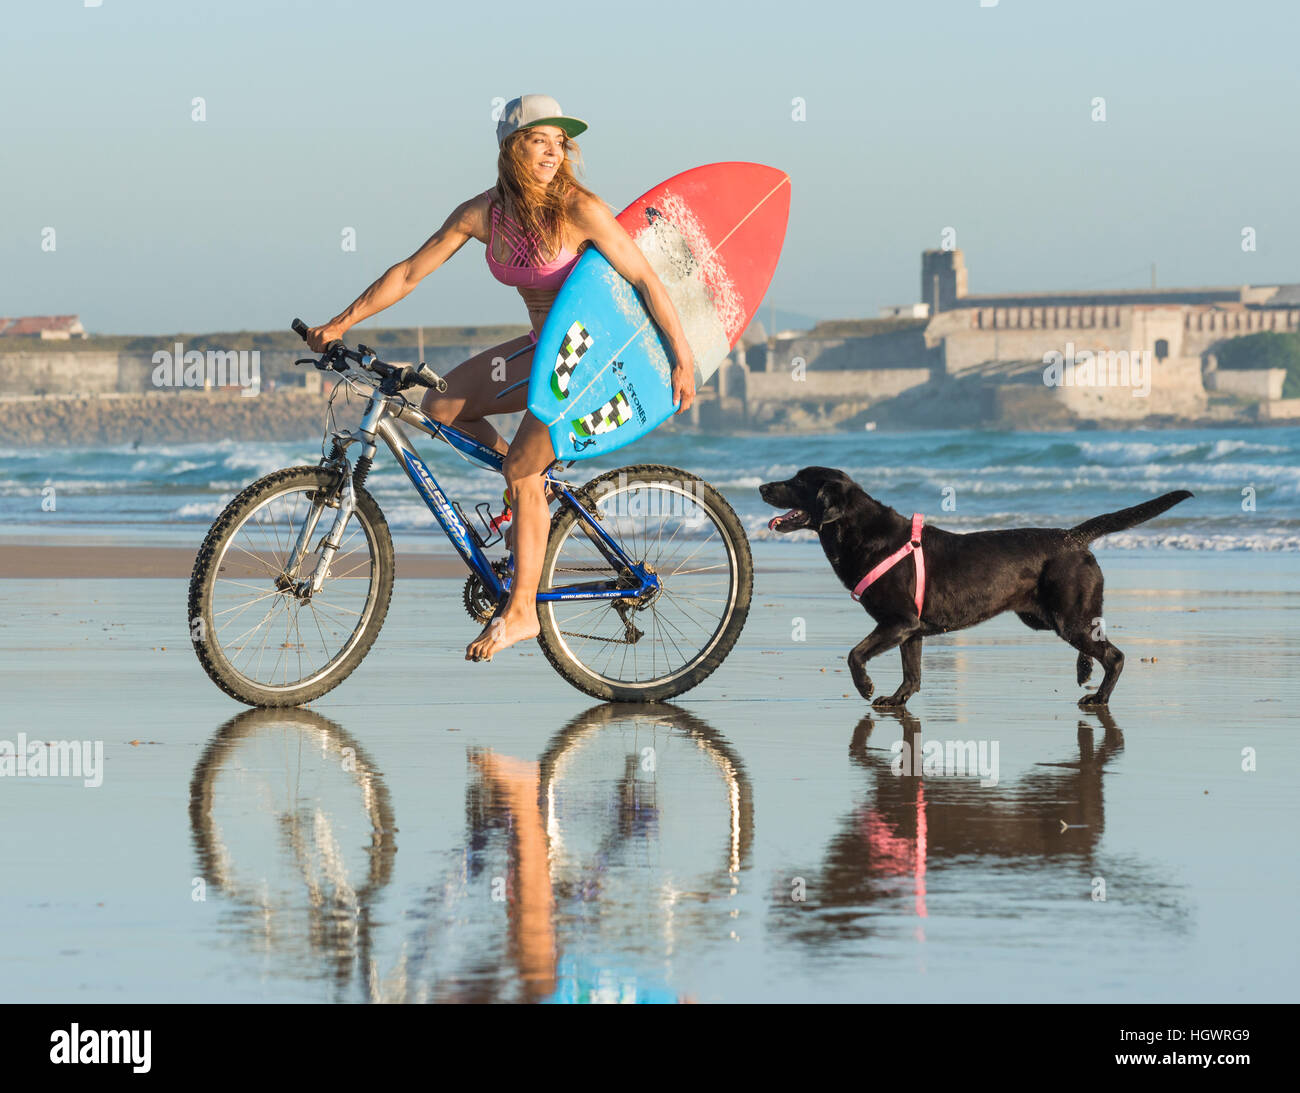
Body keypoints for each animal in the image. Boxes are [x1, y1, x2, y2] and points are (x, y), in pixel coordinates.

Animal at [759, 467, 1190, 707]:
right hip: (1056, 617)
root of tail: (1073, 537)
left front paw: (865, 687)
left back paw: (1099, 697)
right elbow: (912, 674)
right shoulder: (911, 630)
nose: (762, 487)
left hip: (1069, 618)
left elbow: (854, 654)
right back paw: (1087, 675)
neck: (861, 531)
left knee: (1114, 656)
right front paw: (896, 701)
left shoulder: (897, 622)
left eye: (797, 481)